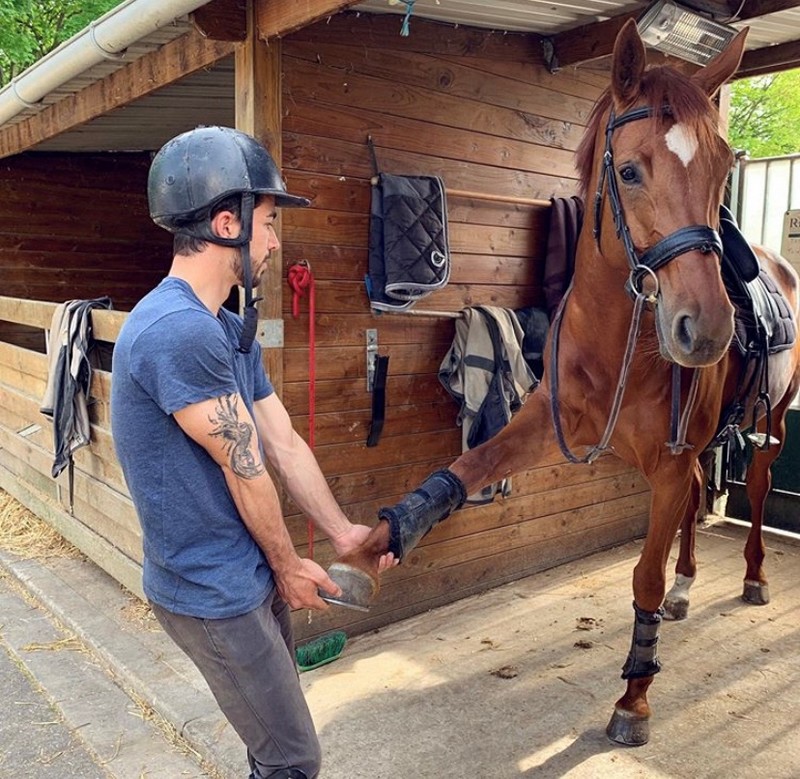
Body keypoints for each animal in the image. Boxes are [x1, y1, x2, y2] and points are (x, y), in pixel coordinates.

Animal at [326, 21, 800, 748]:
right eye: (629, 170)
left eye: (723, 171)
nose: (707, 330)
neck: (619, 343)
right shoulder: (545, 427)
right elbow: (460, 470)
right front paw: (371, 550)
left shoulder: (666, 464)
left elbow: (644, 579)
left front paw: (635, 696)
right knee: (701, 494)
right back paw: (691, 584)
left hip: (770, 427)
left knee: (759, 483)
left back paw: (751, 576)